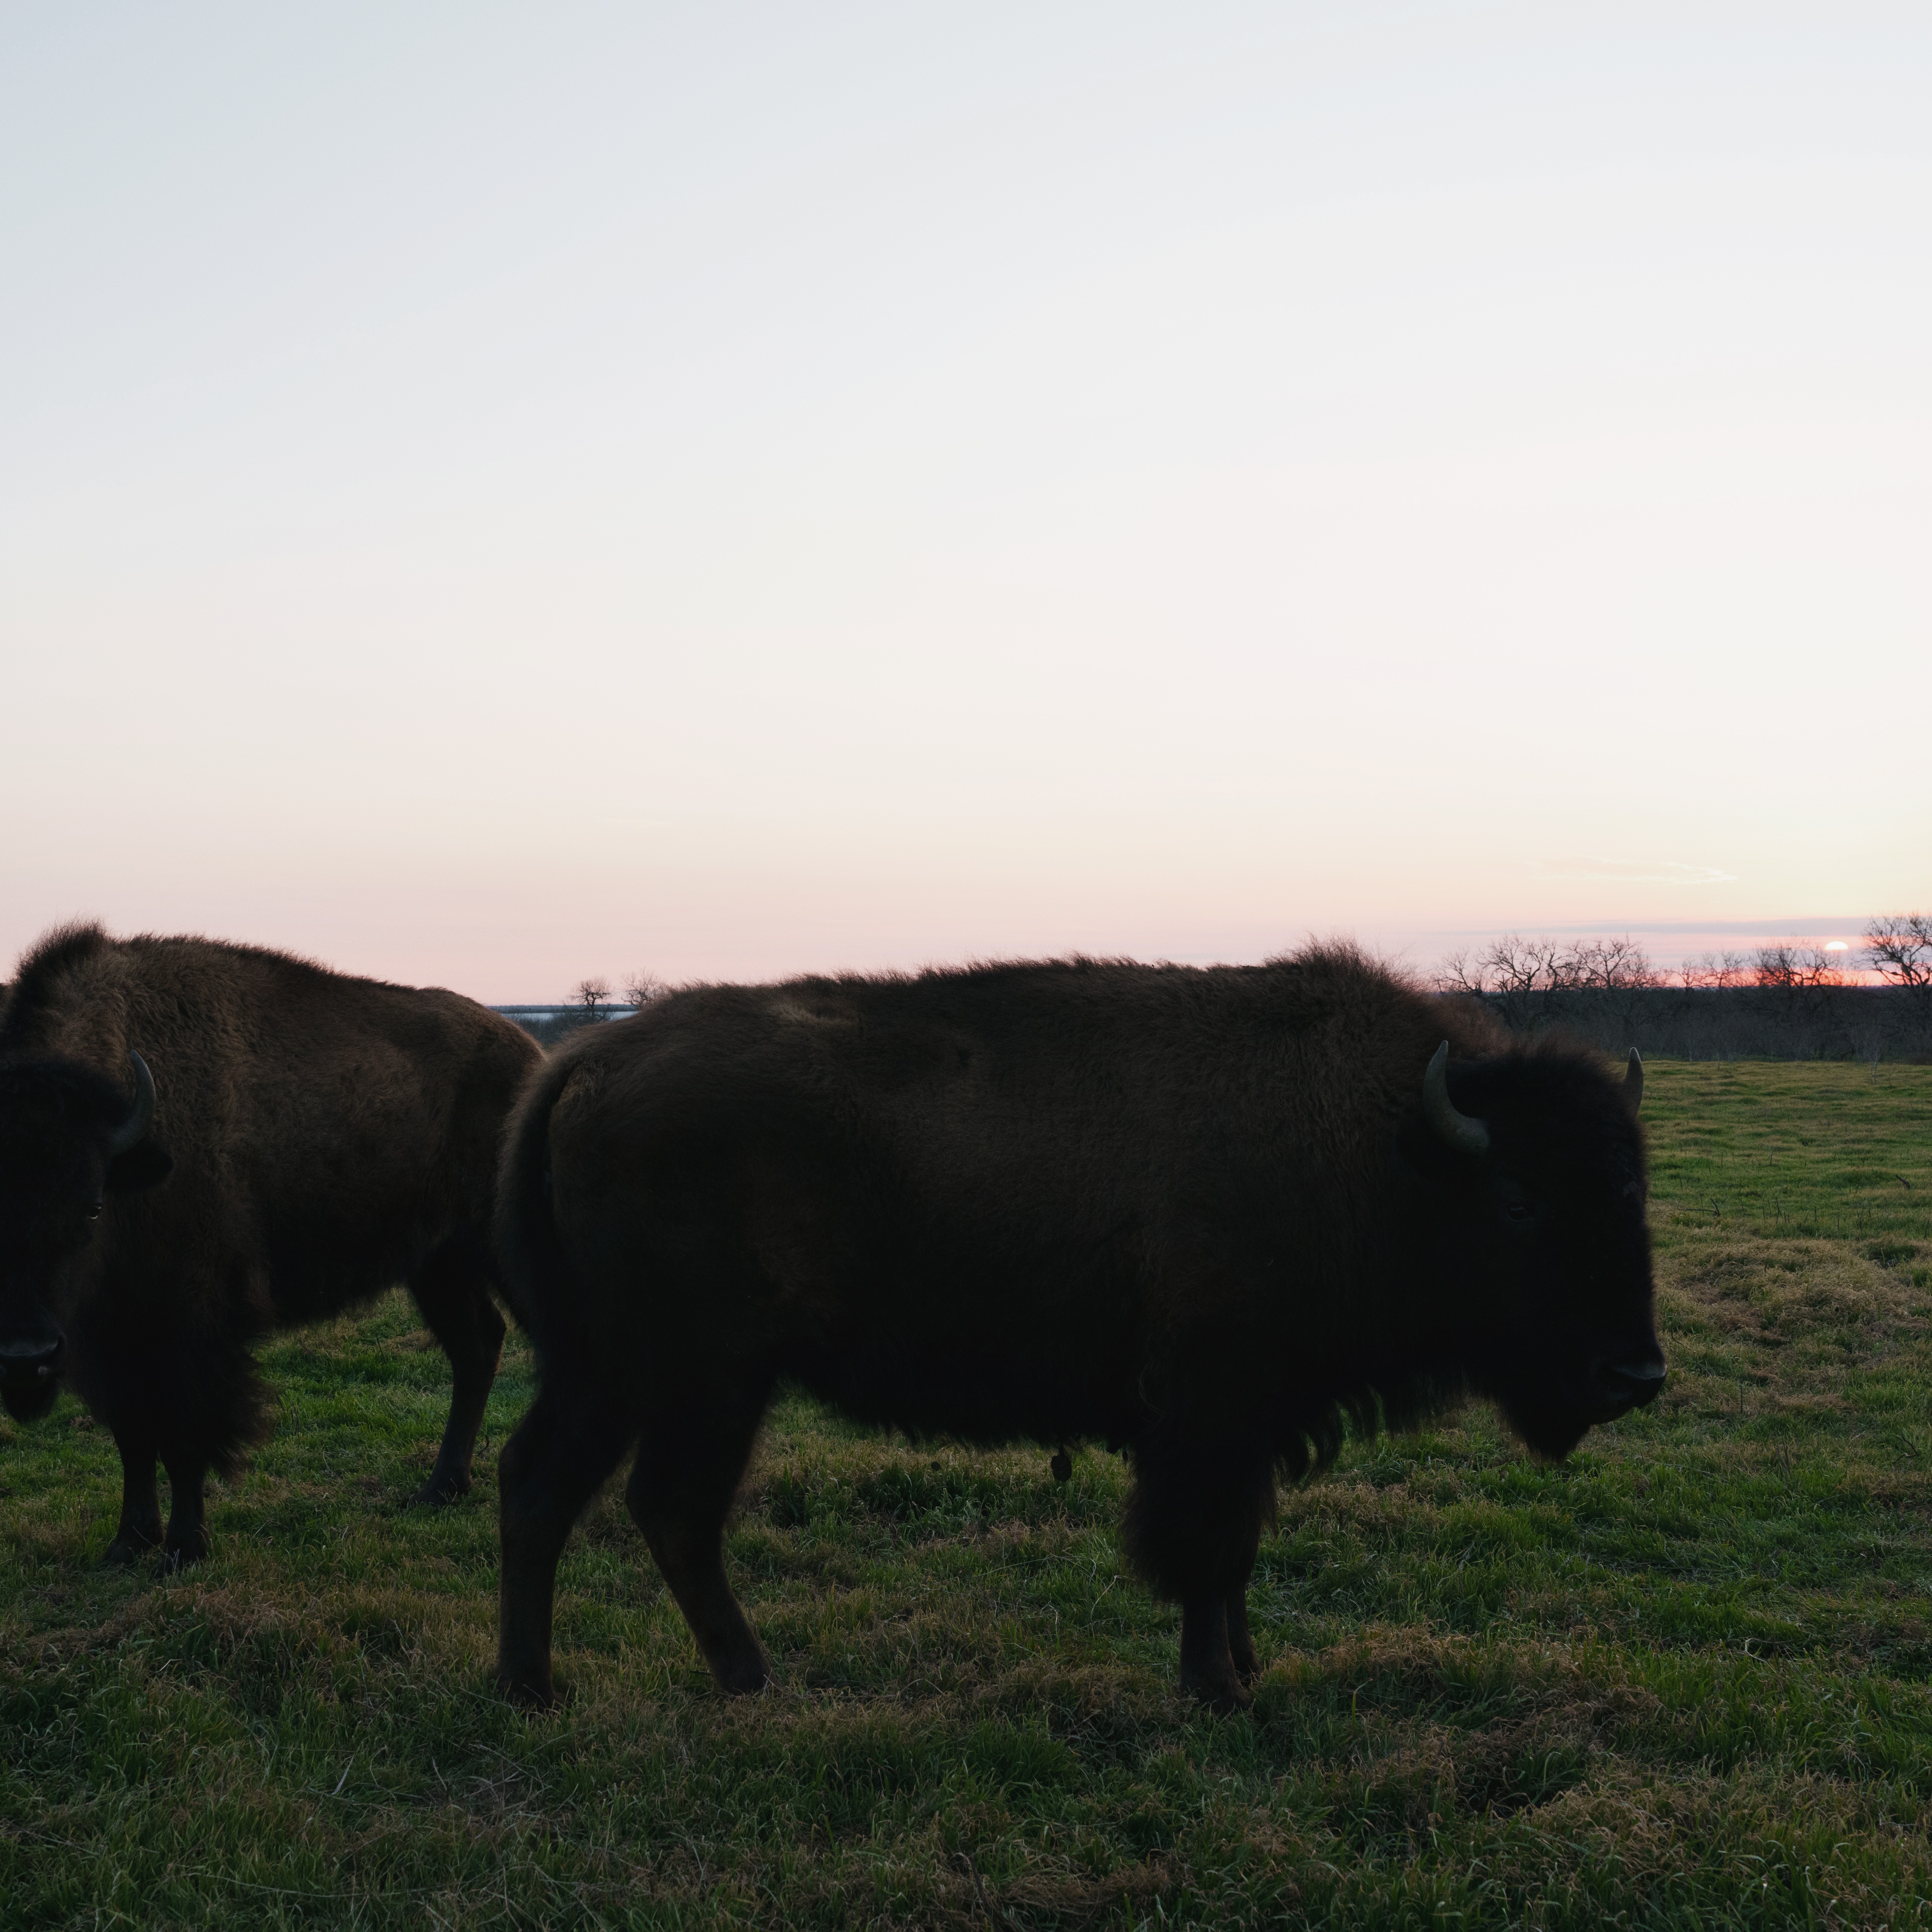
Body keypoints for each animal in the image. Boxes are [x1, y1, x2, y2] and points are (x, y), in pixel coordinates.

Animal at [0, 923, 539, 1564]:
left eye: (92, 1206)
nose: (25, 1357)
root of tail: (530, 1055)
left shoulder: (188, 1329)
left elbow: (184, 1440)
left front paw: (184, 1547)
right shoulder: (111, 1341)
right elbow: (133, 1440)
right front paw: (128, 1545)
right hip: (440, 1263)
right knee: (477, 1347)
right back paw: (439, 1490)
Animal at [494, 945, 1663, 1713]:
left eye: (1631, 1187)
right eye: (1521, 1200)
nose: (1635, 1374)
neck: (1385, 1146)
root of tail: (582, 1066)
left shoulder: (1253, 1424)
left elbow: (1238, 1553)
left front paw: (1246, 1670)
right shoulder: (1209, 1416)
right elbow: (1203, 1550)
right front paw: (1214, 1690)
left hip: (603, 1375)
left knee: (539, 1484)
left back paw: (529, 1686)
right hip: (707, 1383)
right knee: (671, 1511)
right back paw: (748, 1679)